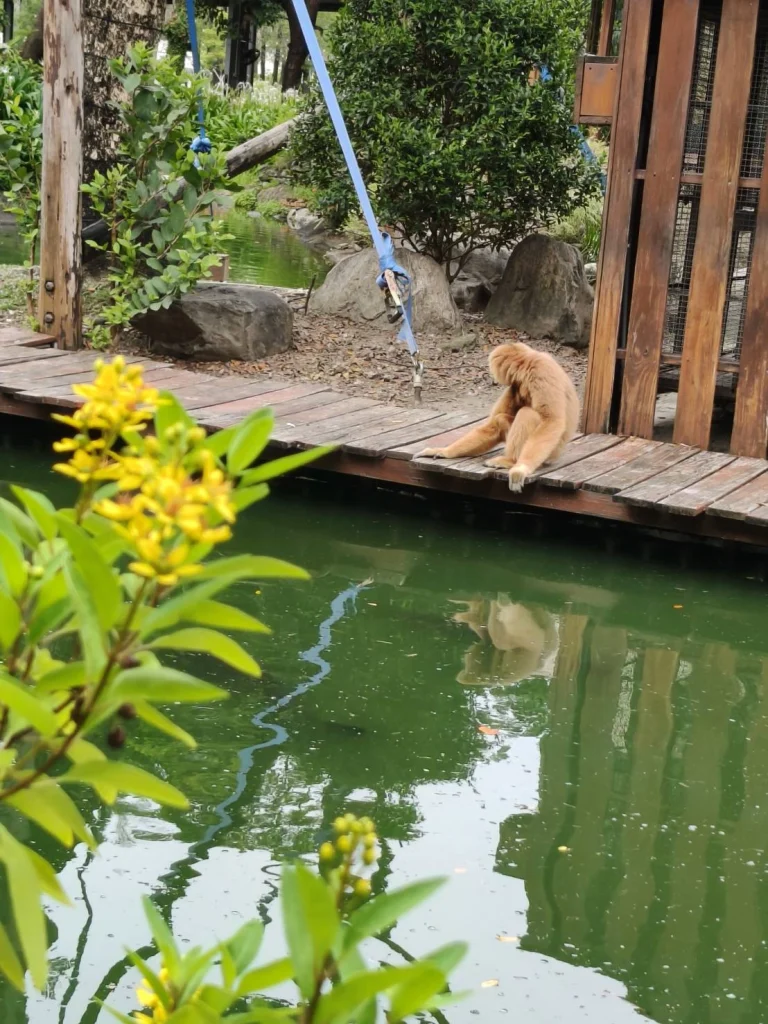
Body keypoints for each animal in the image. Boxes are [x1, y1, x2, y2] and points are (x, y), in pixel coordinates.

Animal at [417, 342, 580, 492]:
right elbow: (492, 424)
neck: (530, 360)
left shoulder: (540, 372)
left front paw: (521, 468)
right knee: (500, 419)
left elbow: (552, 420)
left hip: (551, 452)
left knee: (527, 413)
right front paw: (443, 451)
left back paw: (511, 461)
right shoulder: (515, 387)